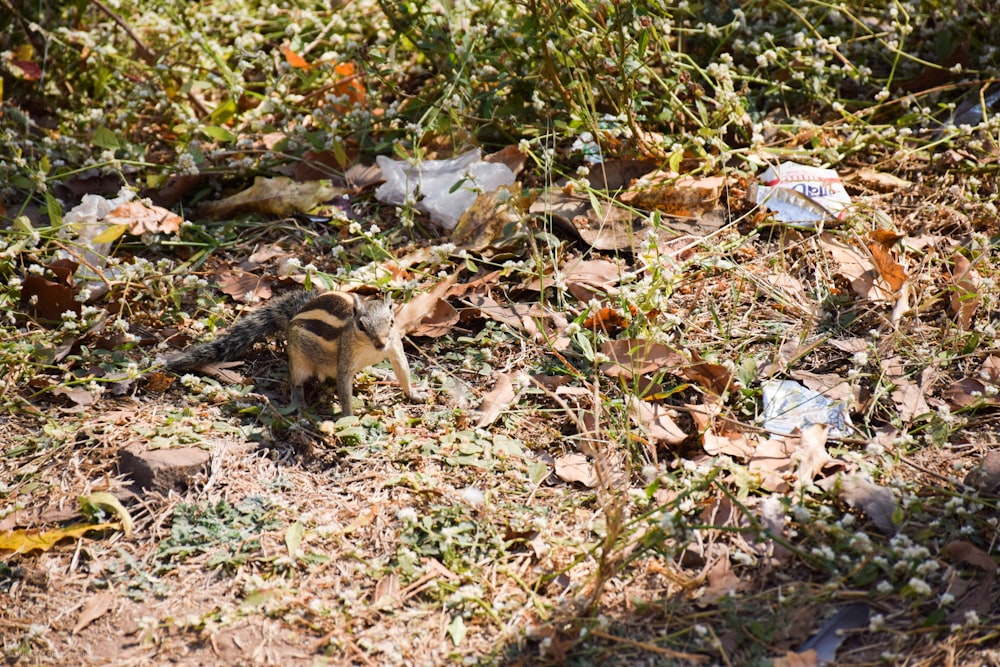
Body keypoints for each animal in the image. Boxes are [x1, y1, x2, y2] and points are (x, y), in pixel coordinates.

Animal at [166, 290, 424, 414]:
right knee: (296, 381)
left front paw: (413, 394)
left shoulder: (395, 348)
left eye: (392, 321)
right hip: (299, 361)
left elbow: (403, 371)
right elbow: (344, 389)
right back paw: (298, 403)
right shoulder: (345, 359)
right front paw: (348, 416)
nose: (380, 344)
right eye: (361, 325)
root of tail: (293, 317)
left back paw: (382, 374)